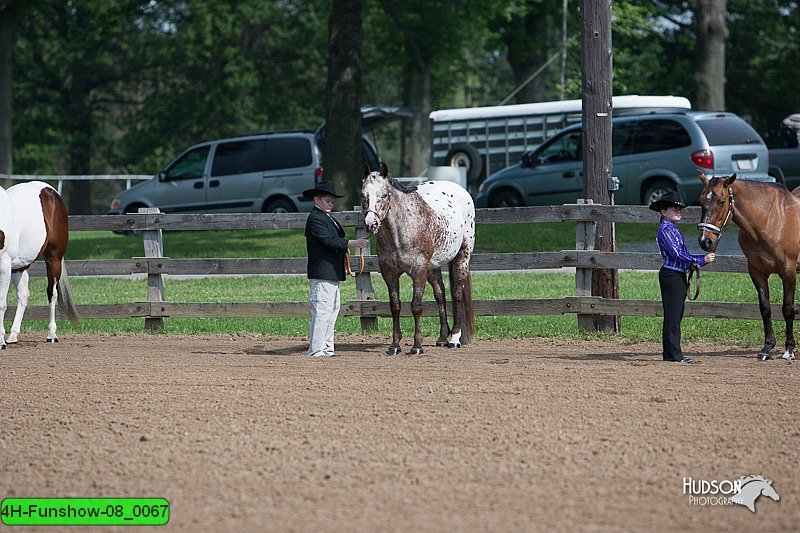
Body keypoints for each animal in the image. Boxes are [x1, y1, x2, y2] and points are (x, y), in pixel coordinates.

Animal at [0, 179, 79, 348]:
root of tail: (50, 191)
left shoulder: (4, 265)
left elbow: (1, 303)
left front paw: (0, 341)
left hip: (53, 259)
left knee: (52, 293)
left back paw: (51, 335)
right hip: (20, 266)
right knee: (23, 295)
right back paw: (13, 336)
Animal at [362, 162, 476, 354]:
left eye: (384, 194)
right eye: (363, 194)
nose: (371, 224)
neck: (401, 231)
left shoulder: (418, 270)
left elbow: (416, 306)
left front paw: (417, 346)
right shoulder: (389, 273)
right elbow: (395, 306)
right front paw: (394, 345)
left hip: (462, 257)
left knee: (457, 293)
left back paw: (454, 338)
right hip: (433, 267)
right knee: (440, 294)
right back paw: (442, 338)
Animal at [696, 172, 796, 360]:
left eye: (722, 201)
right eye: (701, 201)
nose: (705, 241)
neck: (770, 219)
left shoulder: (788, 272)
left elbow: (788, 309)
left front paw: (789, 349)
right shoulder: (757, 272)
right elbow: (765, 308)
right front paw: (767, 348)